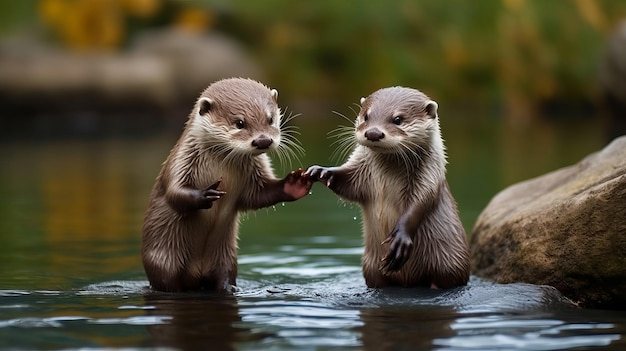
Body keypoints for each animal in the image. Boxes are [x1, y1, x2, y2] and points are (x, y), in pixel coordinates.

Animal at [139, 78, 310, 292]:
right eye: (239, 123)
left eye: (270, 119)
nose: (263, 140)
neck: (222, 167)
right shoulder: (181, 161)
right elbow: (174, 193)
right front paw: (206, 194)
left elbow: (258, 196)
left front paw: (295, 183)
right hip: (164, 259)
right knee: (167, 281)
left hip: (225, 258)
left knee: (224, 275)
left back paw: (229, 288)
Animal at [308, 86, 468, 290]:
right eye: (366, 116)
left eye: (398, 119)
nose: (373, 133)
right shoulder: (360, 172)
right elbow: (347, 184)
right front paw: (321, 171)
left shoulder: (429, 177)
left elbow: (420, 203)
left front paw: (400, 238)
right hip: (371, 267)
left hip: (450, 261)